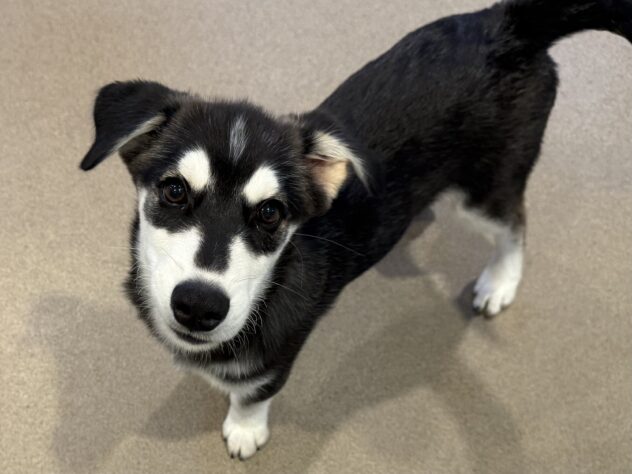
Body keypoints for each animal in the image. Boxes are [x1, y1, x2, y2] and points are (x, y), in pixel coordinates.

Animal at [80, 0, 632, 460]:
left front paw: (244, 429)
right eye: (174, 191)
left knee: (515, 224)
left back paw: (500, 282)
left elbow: (254, 393)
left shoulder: (278, 356)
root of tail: (510, 22)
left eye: (271, 214)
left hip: (487, 185)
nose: (198, 306)